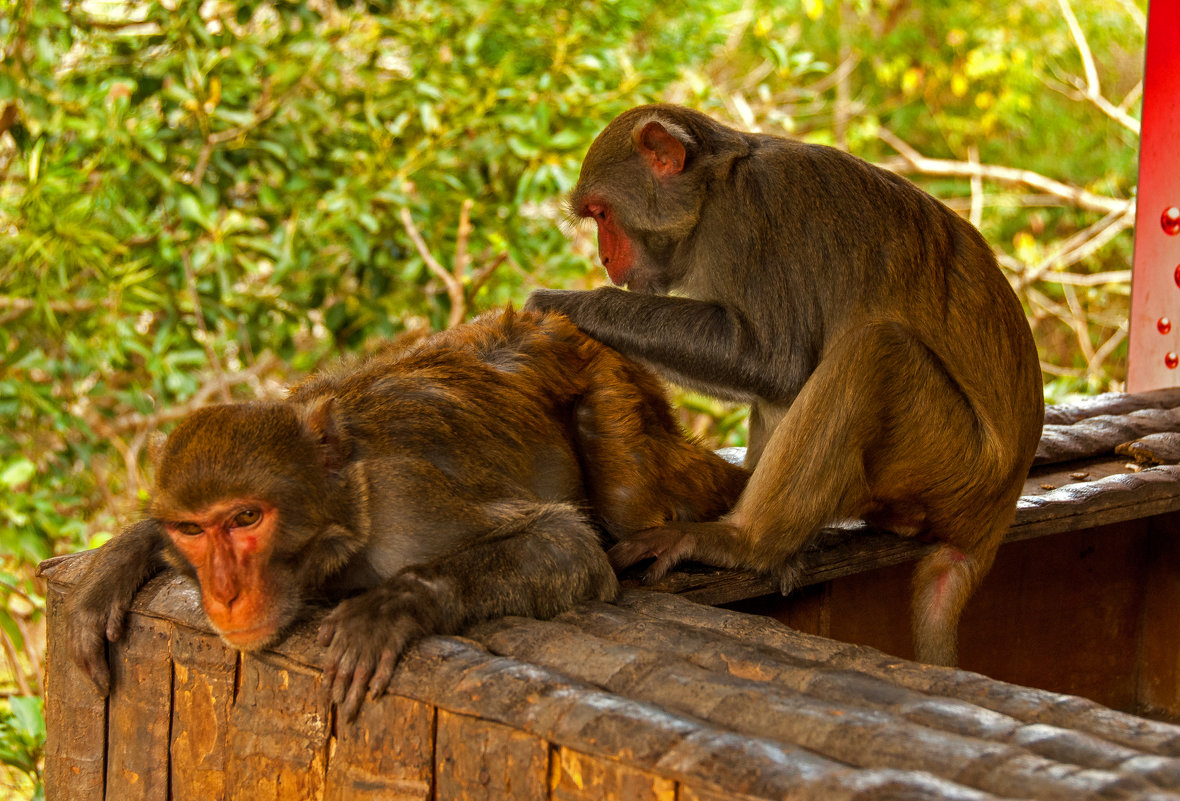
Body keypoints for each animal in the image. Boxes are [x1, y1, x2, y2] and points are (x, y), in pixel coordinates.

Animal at [62, 309, 745, 721]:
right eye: (193, 530)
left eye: (246, 519)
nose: (225, 593)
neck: (346, 509)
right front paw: (116, 564)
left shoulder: (407, 505)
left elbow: (566, 541)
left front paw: (395, 604)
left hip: (614, 386)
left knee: (631, 507)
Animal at [531, 103, 1047, 665]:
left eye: (601, 214)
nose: (606, 259)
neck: (712, 191)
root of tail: (991, 518)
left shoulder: (749, 223)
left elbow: (774, 359)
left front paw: (563, 304)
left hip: (954, 463)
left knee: (876, 351)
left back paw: (745, 540)